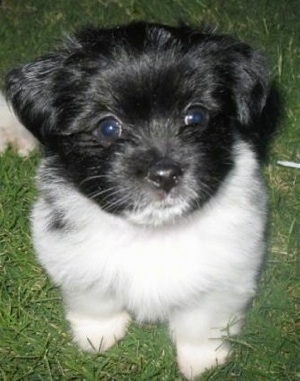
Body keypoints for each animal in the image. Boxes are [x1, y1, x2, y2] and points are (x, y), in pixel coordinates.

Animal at [6, 22, 270, 378]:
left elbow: (201, 322)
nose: (165, 173)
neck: (152, 232)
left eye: (196, 117)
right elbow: (95, 300)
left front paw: (201, 362)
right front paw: (97, 336)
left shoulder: (226, 274)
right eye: (108, 127)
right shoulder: (73, 258)